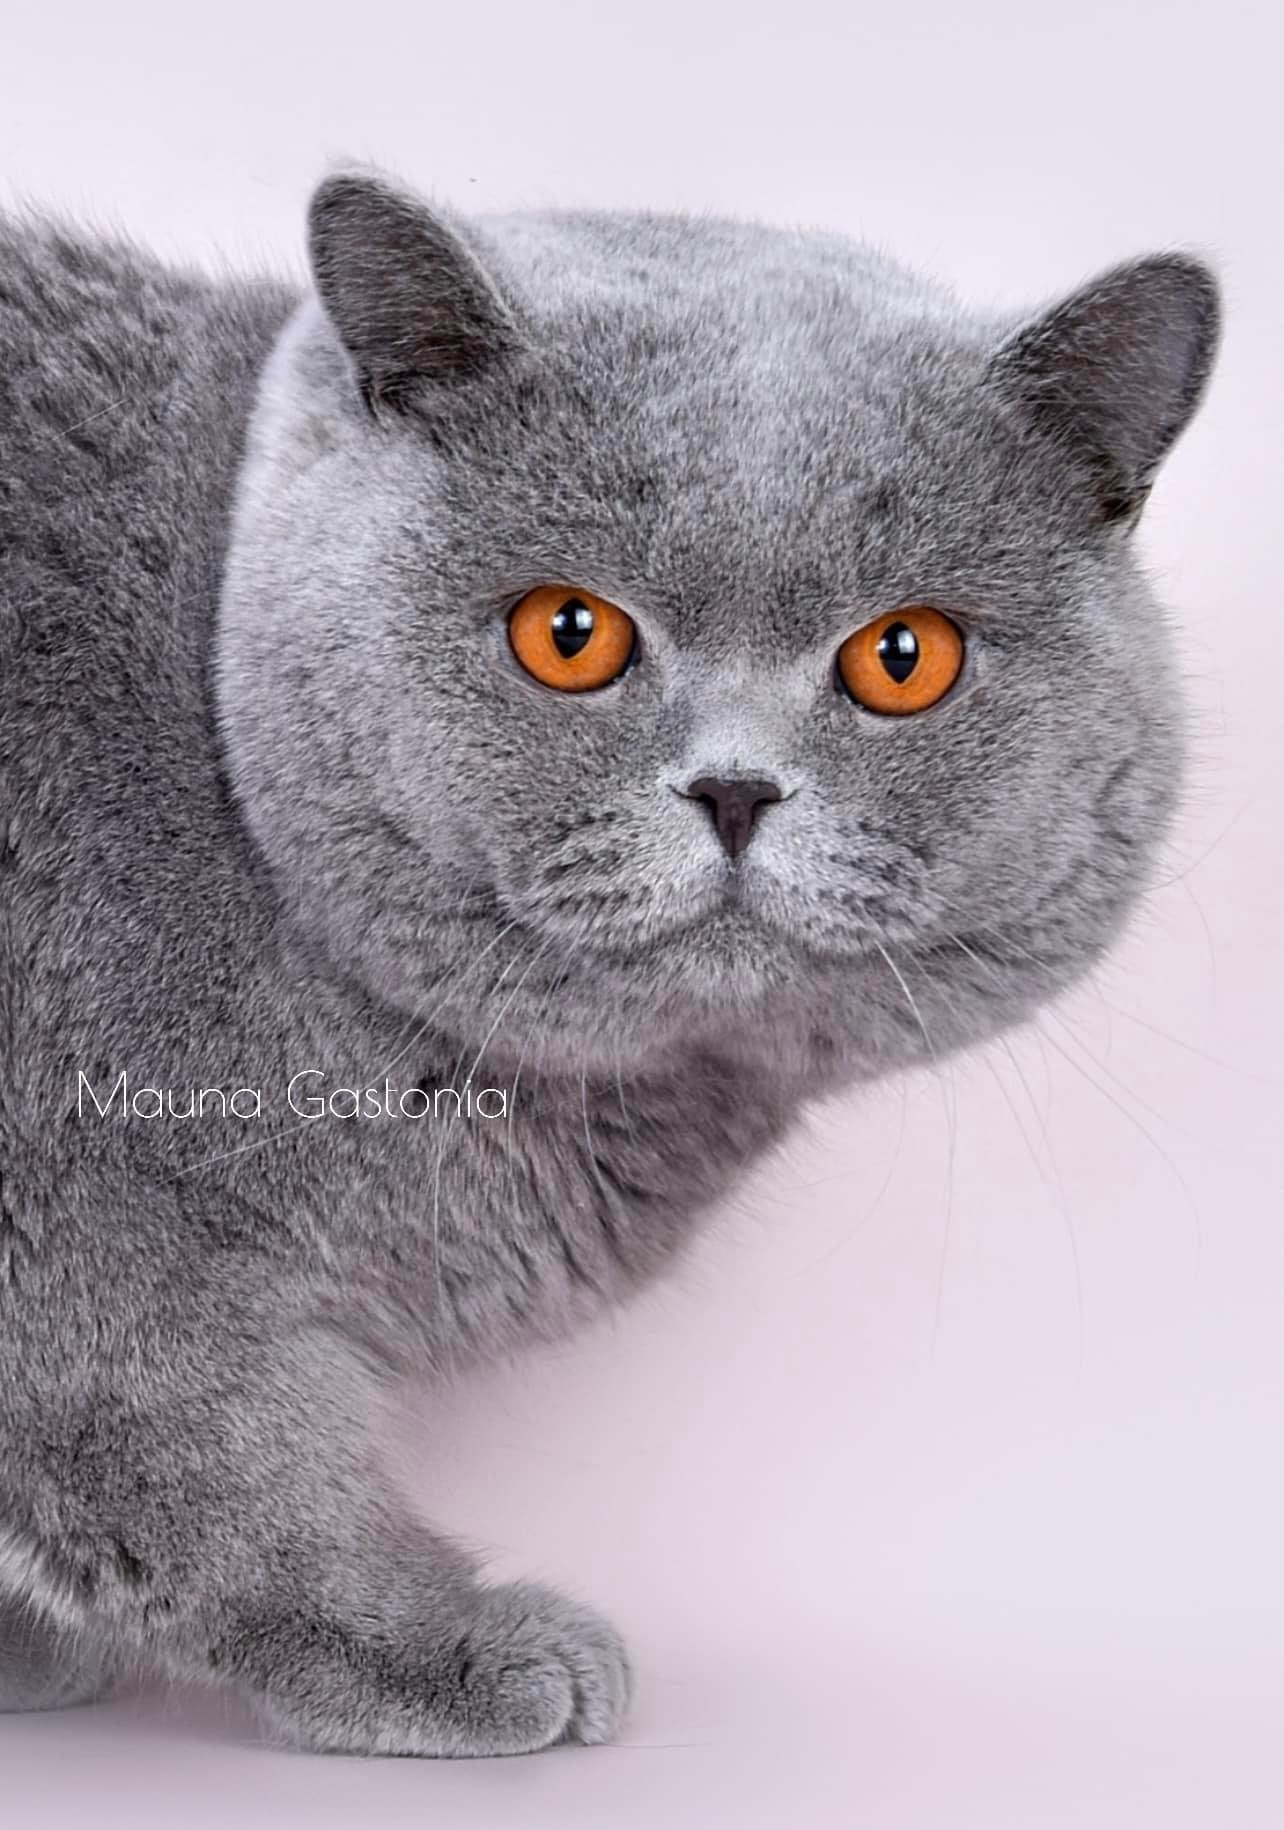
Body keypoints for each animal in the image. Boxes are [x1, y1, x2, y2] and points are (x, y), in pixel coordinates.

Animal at [0, 167, 1219, 1755]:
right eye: (566, 634)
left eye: (905, 657)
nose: (736, 790)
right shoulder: (76, 1217)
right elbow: (220, 1468)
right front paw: (449, 1649)